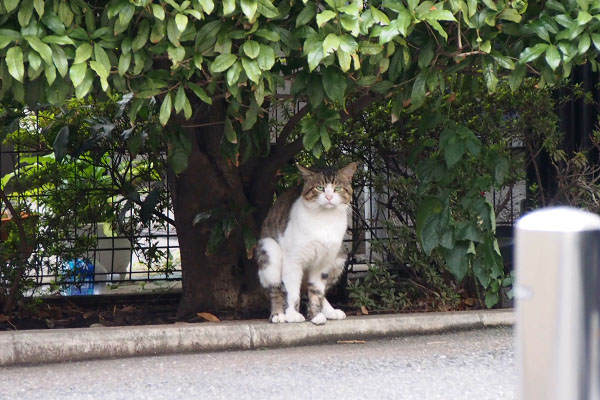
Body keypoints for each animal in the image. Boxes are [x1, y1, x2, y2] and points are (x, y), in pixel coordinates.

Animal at [256, 162, 356, 324]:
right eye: (320, 188)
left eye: (337, 188)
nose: (329, 197)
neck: (325, 220)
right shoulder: (293, 260)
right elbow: (291, 291)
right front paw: (292, 315)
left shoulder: (322, 263)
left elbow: (316, 291)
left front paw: (315, 316)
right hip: (270, 251)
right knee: (276, 288)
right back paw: (278, 314)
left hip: (339, 258)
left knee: (319, 292)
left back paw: (329, 311)